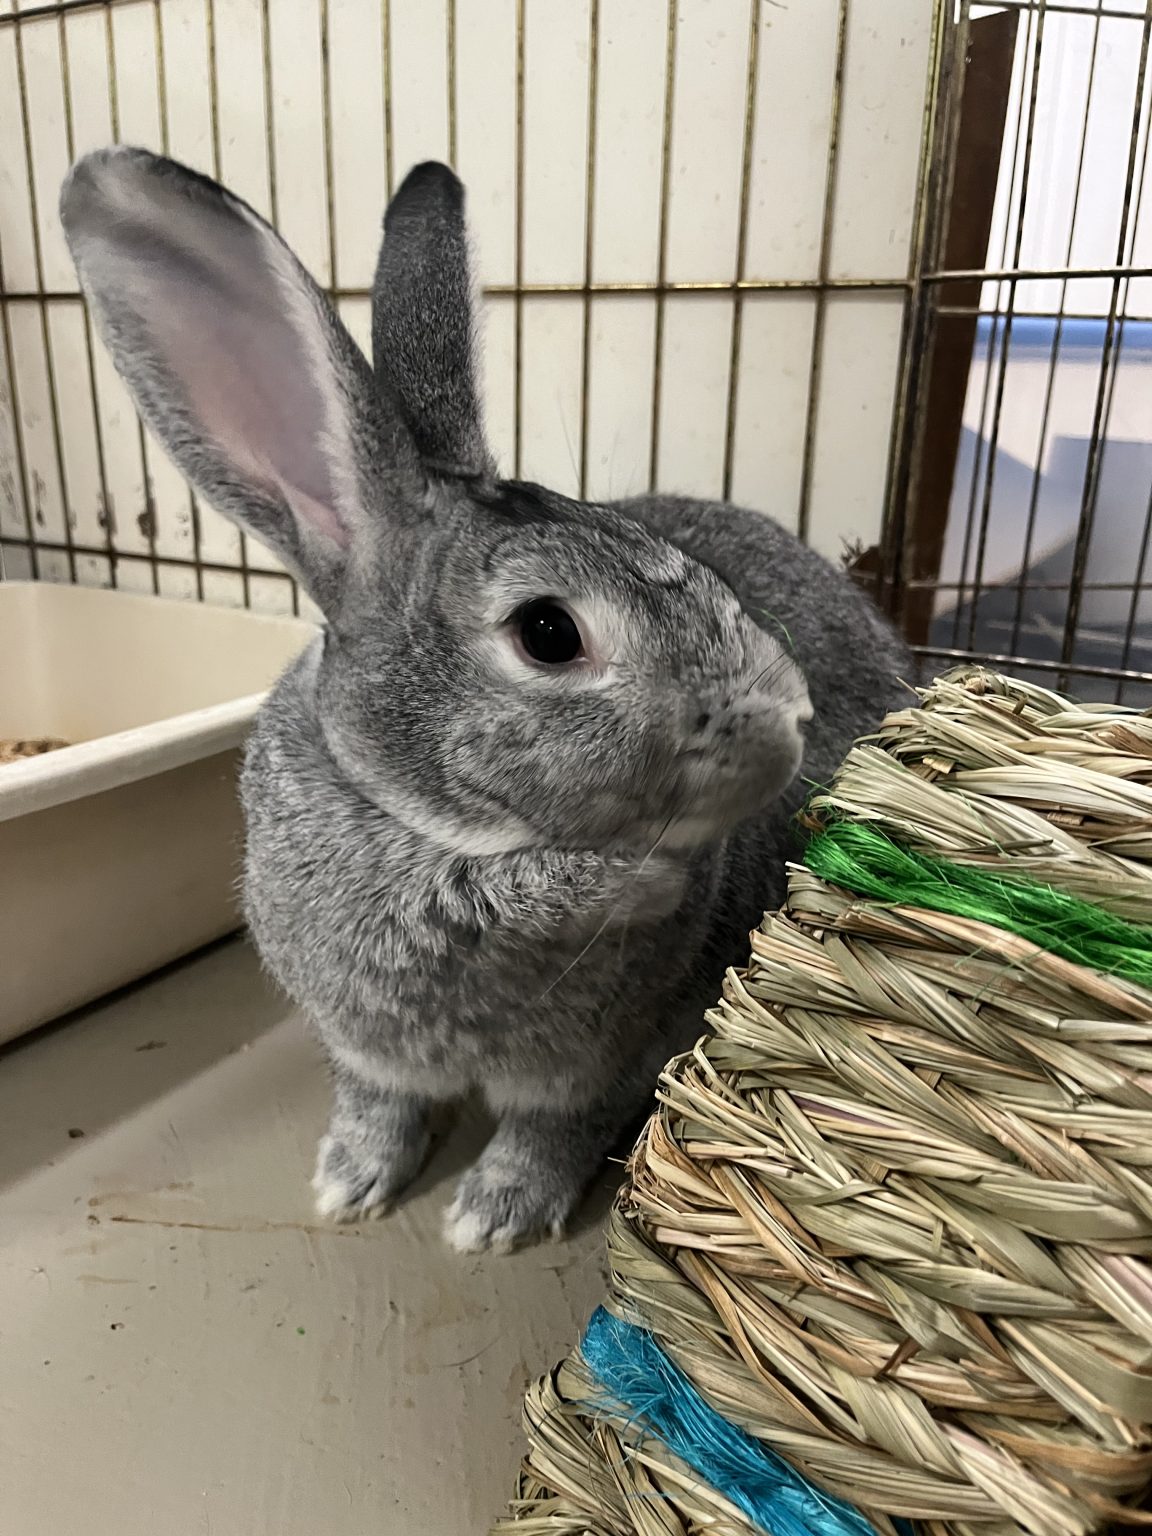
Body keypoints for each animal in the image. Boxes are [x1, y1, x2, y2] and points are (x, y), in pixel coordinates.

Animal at [60, 148, 911, 1253]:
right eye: (548, 633)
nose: (792, 715)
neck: (445, 838)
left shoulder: (608, 1063)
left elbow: (553, 1132)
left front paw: (492, 1219)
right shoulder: (361, 1046)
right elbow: (376, 1105)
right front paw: (348, 1183)